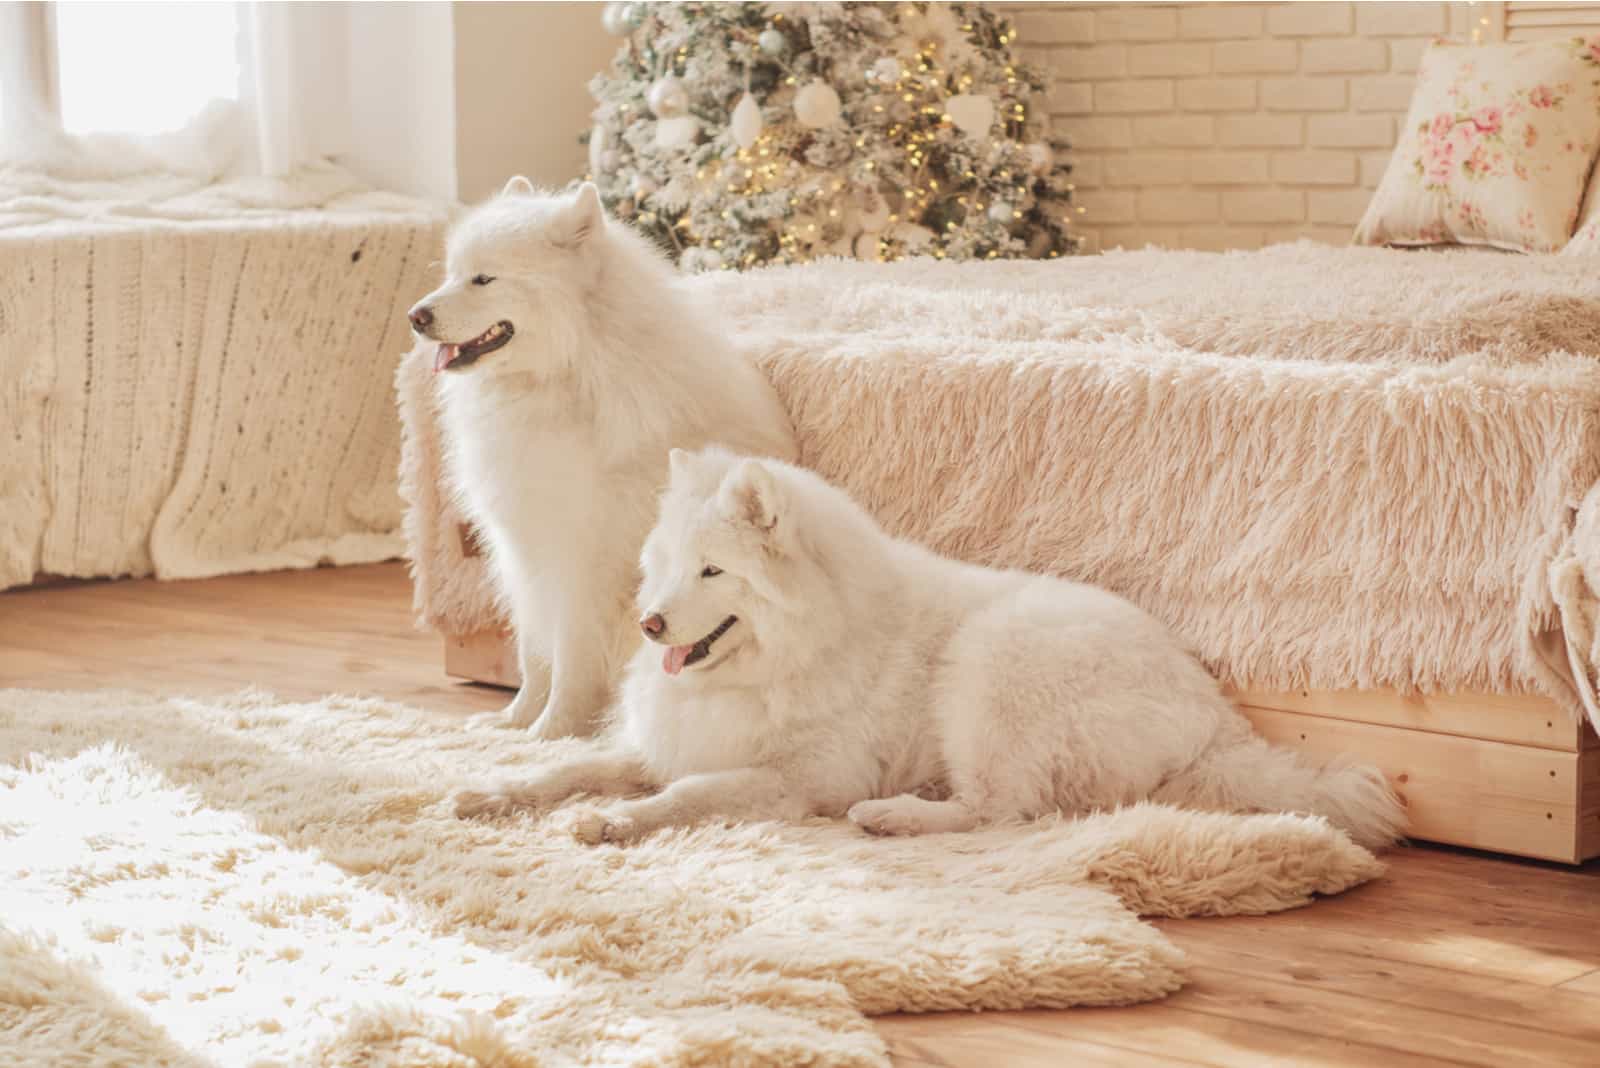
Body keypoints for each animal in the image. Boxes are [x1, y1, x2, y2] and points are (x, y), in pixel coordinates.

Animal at [406, 179, 793, 738]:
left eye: (483, 278)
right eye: (452, 274)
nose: (416, 317)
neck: (568, 374)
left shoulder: (581, 562)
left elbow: (570, 658)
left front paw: (551, 734)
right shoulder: (523, 551)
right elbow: (533, 653)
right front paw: (514, 721)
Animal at [457, 447, 1408, 844]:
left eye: (713, 572)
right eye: (660, 570)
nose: (651, 623)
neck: (796, 650)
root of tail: (1212, 716)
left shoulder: (793, 779)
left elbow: (683, 797)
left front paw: (614, 822)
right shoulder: (668, 740)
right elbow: (572, 766)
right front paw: (495, 791)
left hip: (990, 666)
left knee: (999, 810)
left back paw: (894, 816)